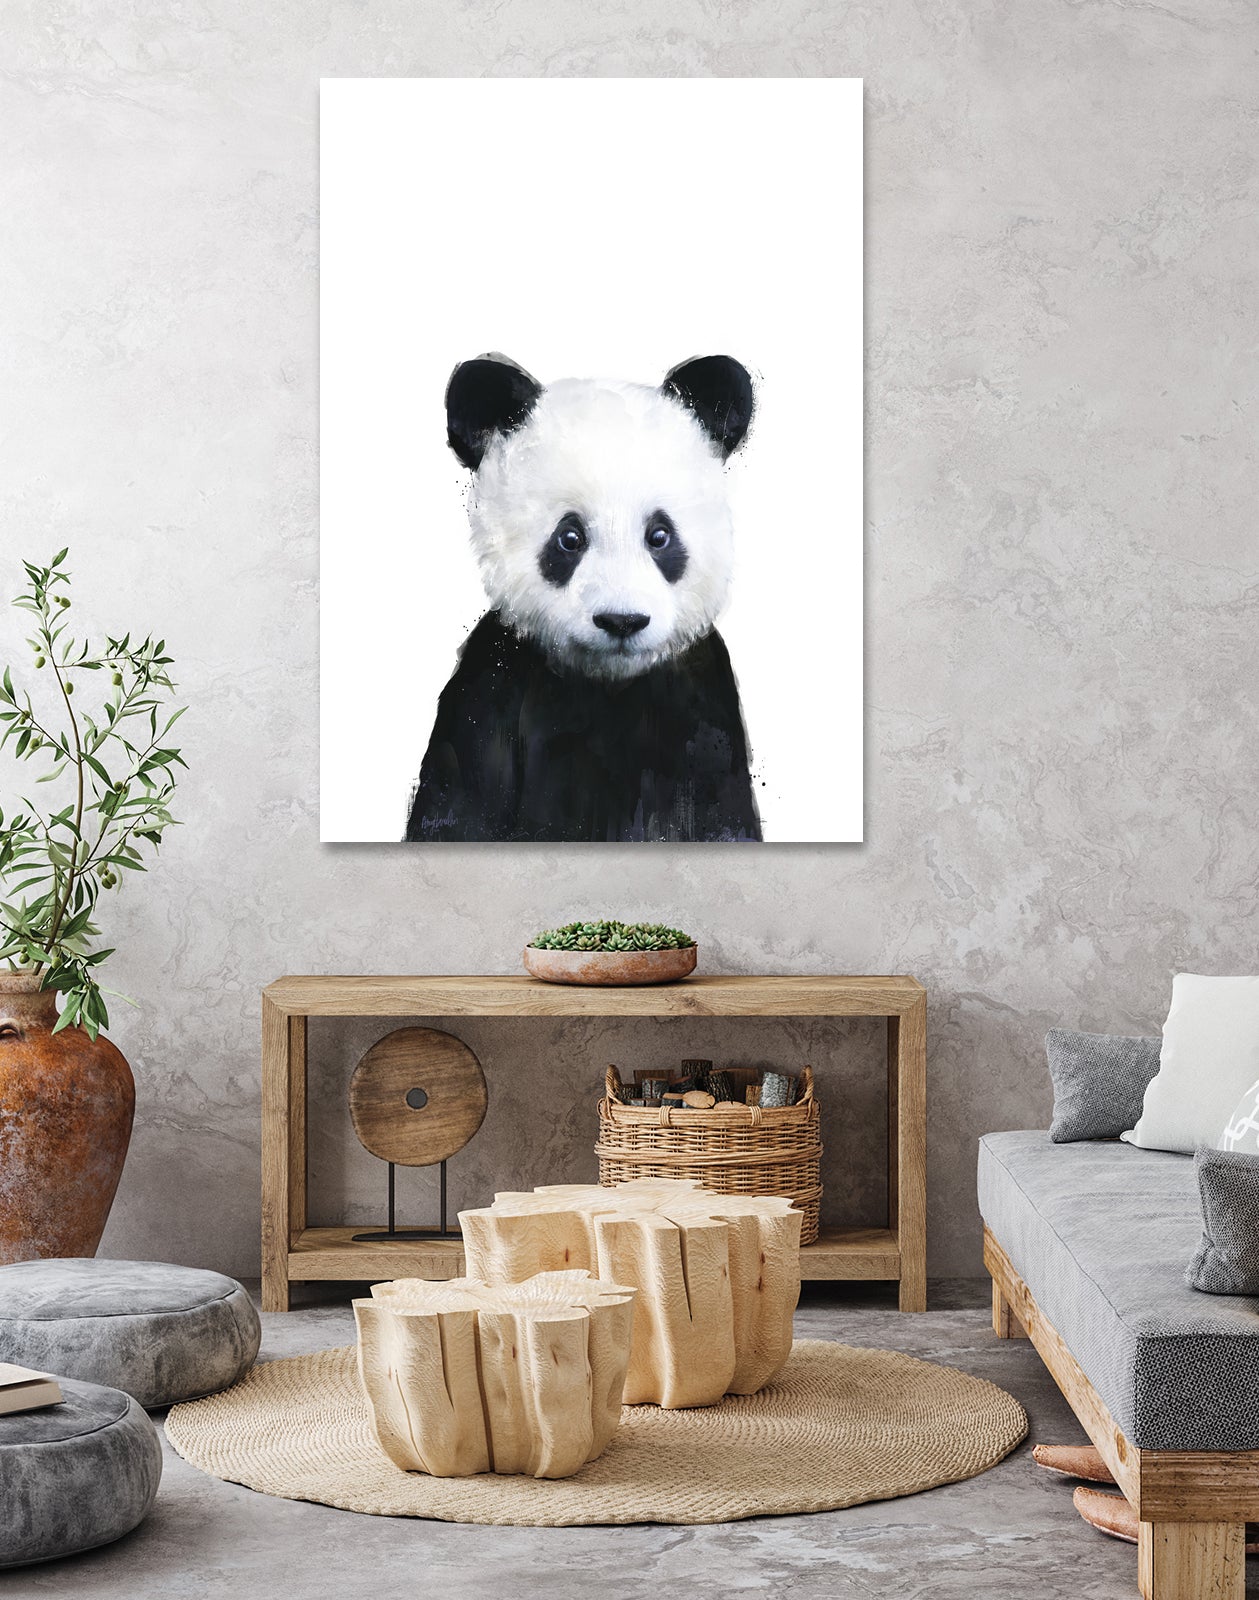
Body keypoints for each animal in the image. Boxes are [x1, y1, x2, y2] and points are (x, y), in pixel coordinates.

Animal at [405, 352, 762, 843]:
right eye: (569, 538)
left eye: (660, 535)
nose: (621, 621)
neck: (606, 684)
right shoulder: (492, 689)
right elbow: (459, 806)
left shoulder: (701, 705)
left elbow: (720, 815)